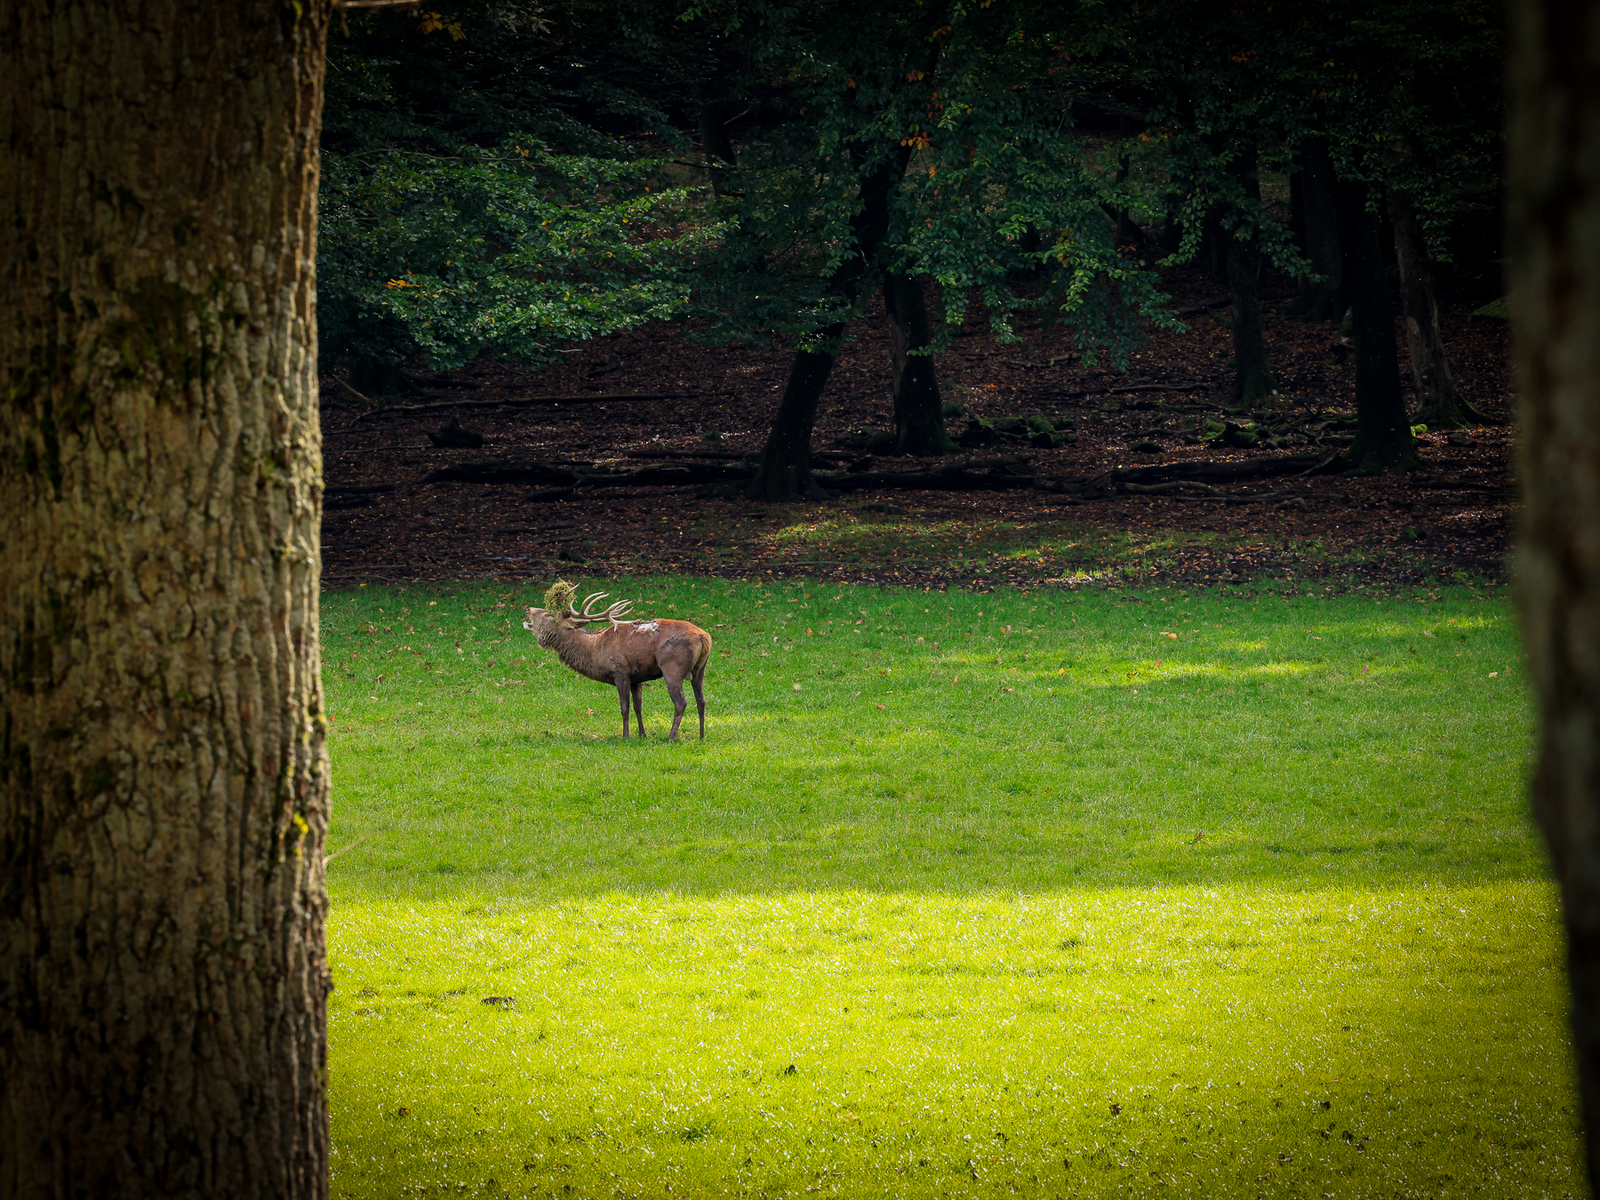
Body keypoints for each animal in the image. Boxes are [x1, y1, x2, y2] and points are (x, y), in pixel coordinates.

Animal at [524, 582, 713, 742]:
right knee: (701, 700)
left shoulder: (620, 672)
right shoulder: (636, 678)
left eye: (548, 613)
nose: (527, 608)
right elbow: (638, 706)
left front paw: (626, 736)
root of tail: (704, 637)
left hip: (672, 667)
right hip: (700, 668)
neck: (595, 650)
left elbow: (624, 707)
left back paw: (671, 738)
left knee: (681, 702)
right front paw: (642, 735)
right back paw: (702, 736)